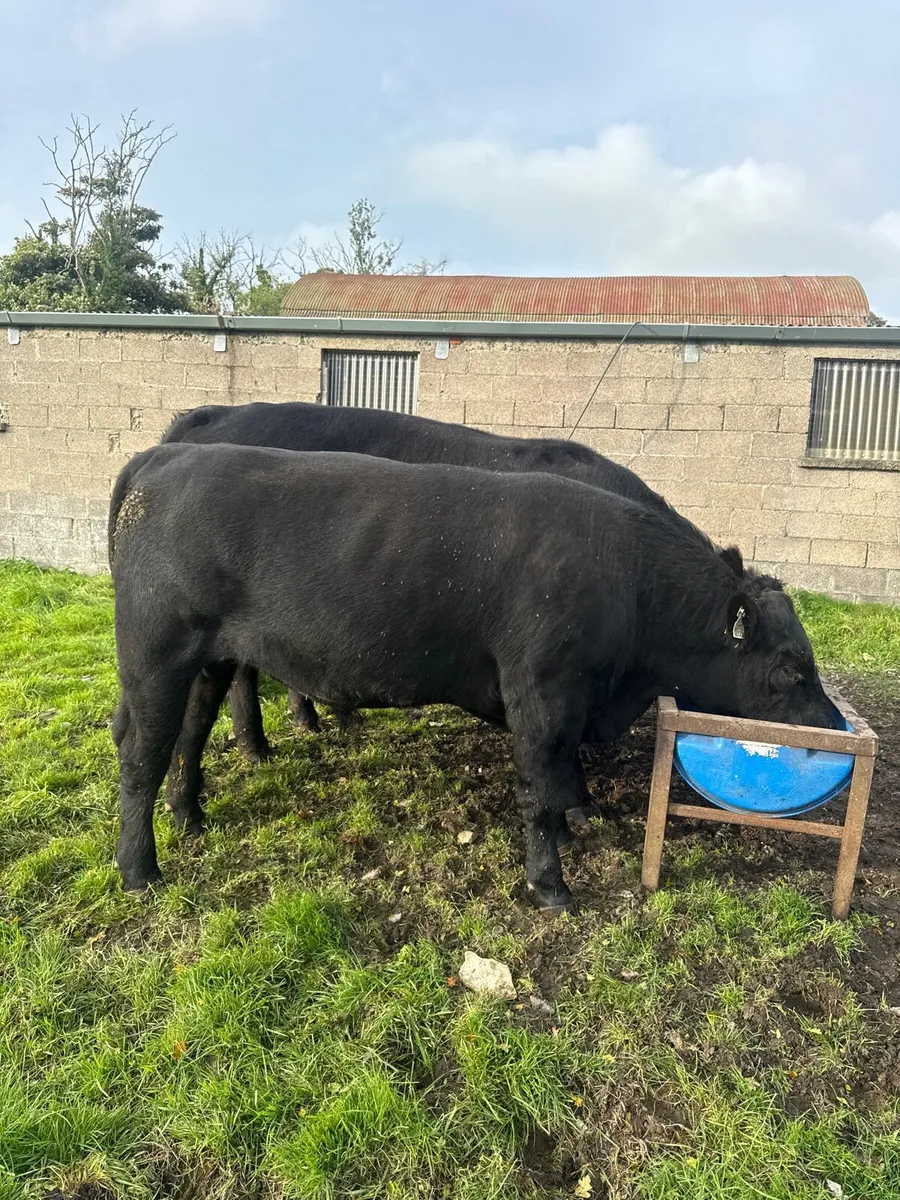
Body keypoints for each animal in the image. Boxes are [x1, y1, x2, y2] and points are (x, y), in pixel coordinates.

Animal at [108, 442, 835, 909]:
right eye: (789, 670)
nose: (832, 728)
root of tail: (163, 458)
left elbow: (559, 776)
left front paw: (571, 824)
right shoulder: (540, 689)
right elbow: (538, 786)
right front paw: (551, 886)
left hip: (209, 658)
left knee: (190, 732)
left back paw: (190, 816)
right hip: (155, 651)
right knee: (143, 752)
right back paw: (141, 868)